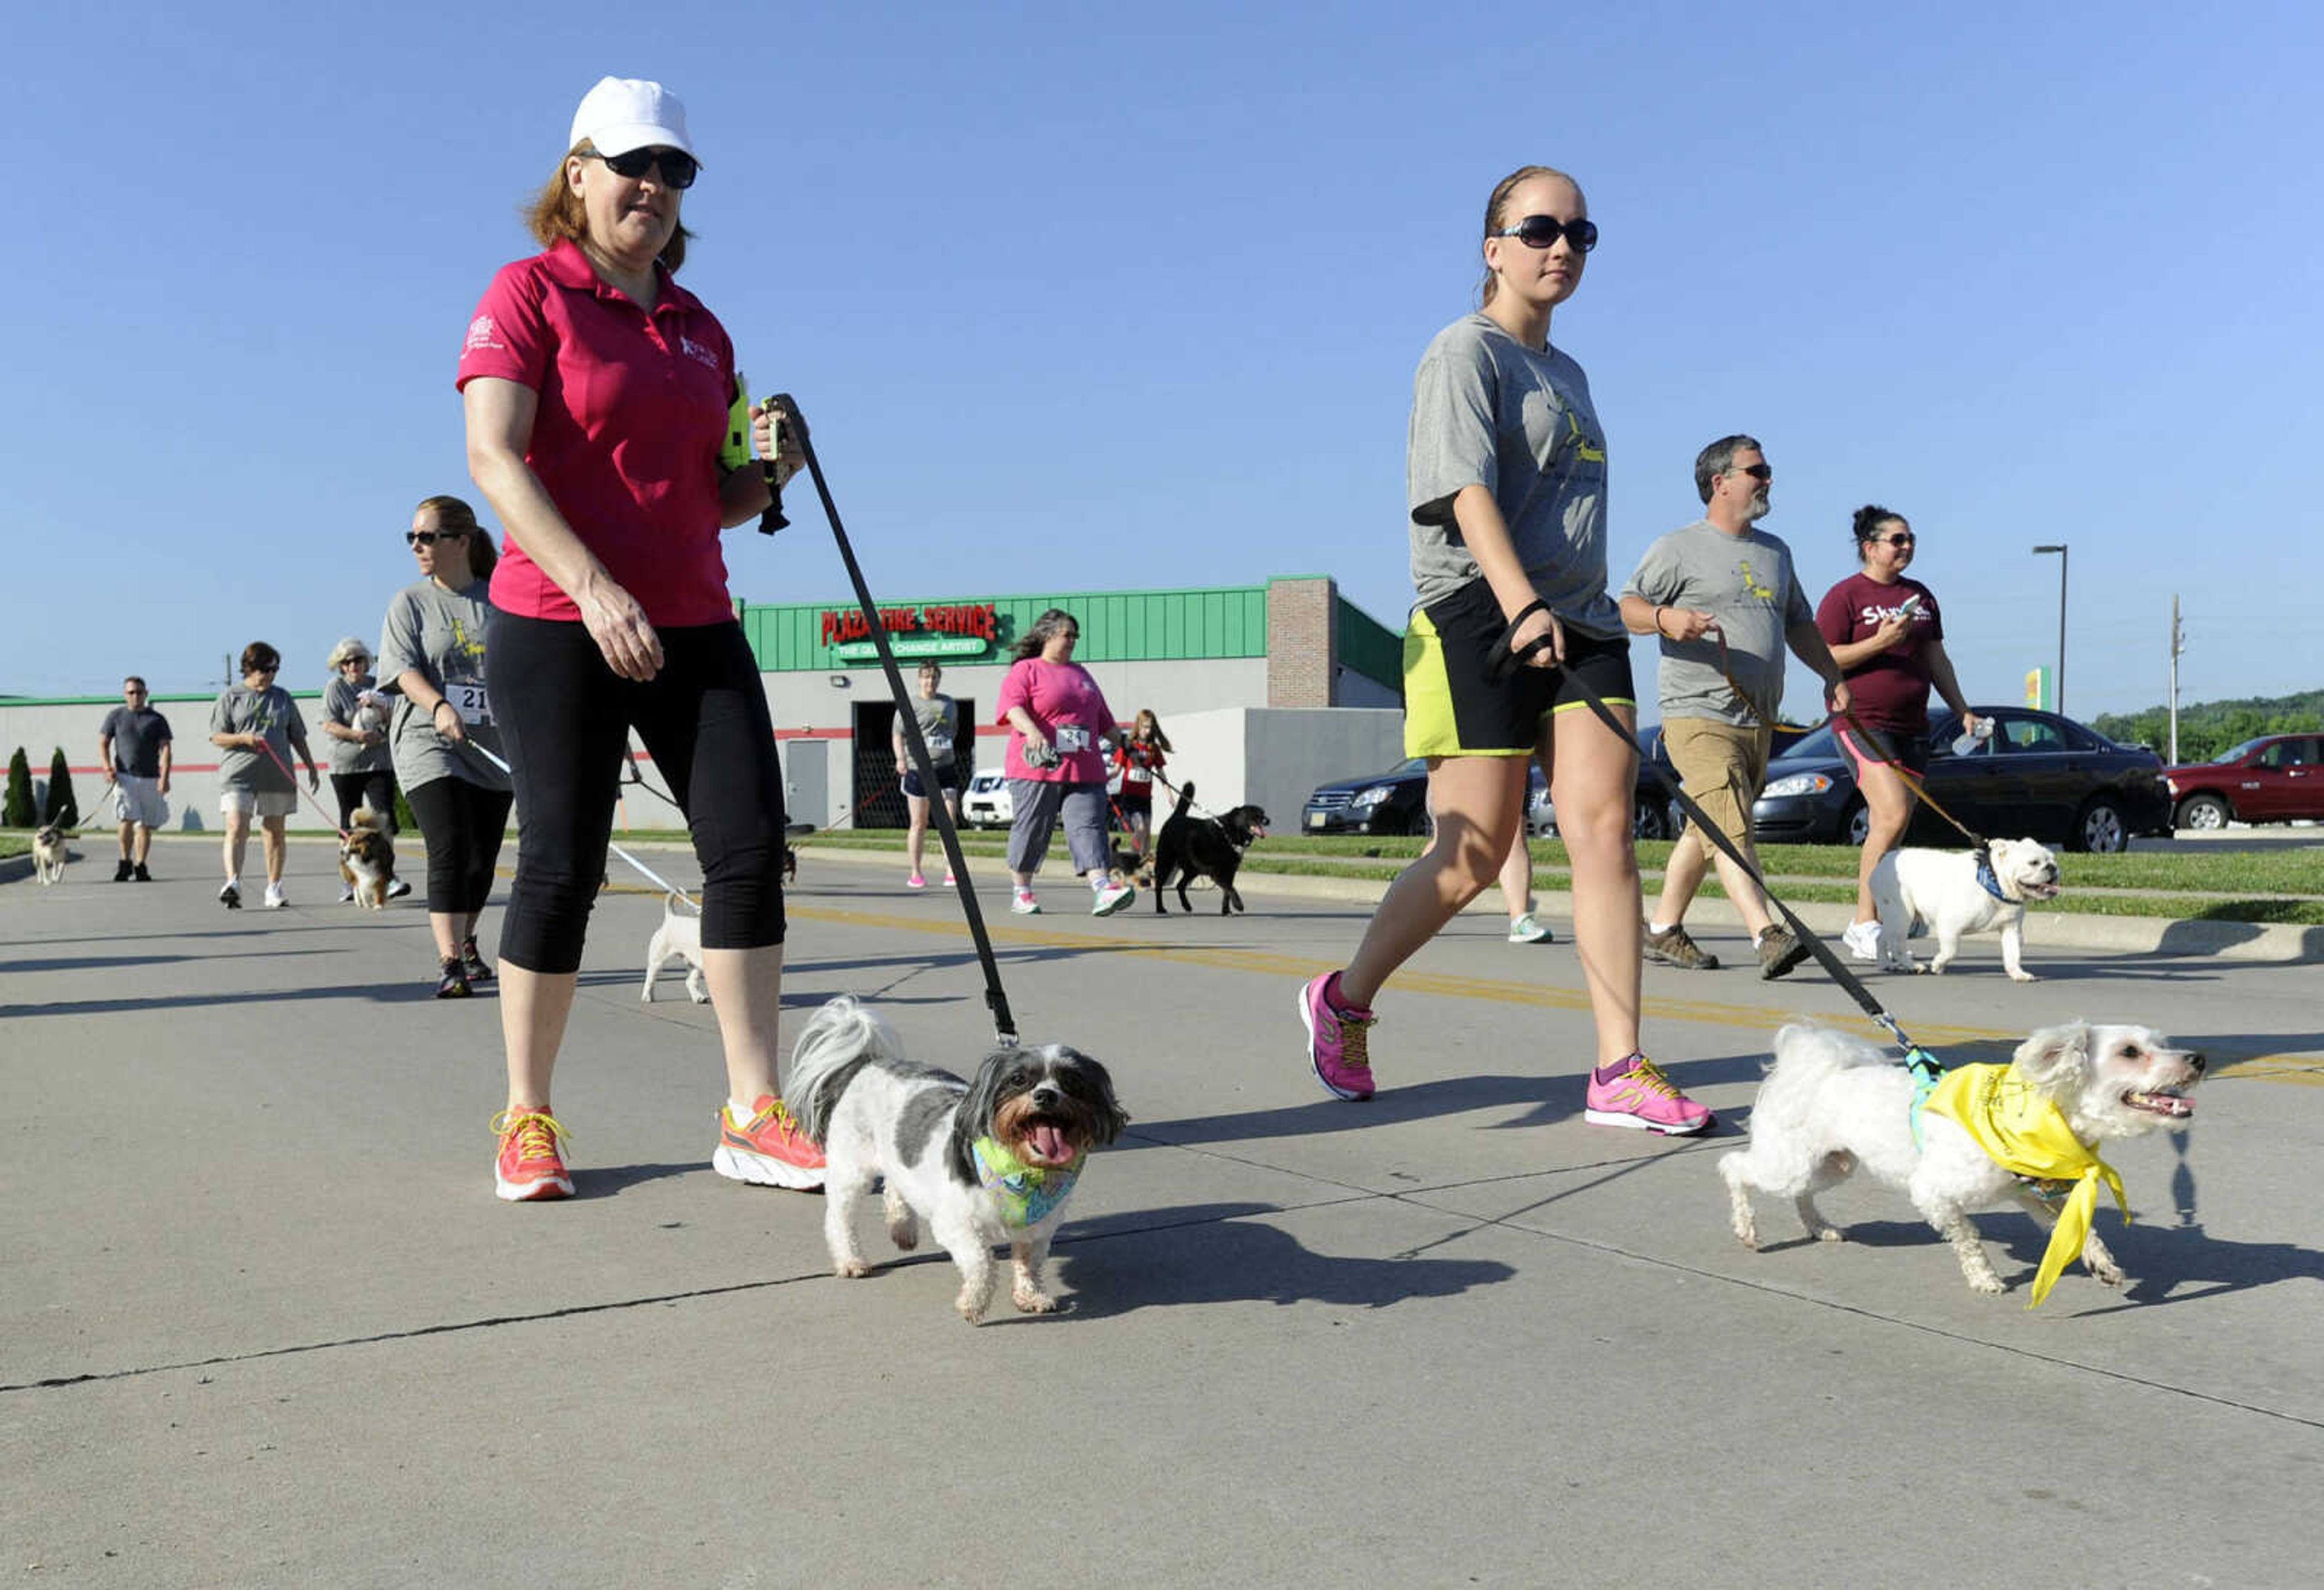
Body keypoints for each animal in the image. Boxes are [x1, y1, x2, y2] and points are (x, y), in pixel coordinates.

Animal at [637, 888, 706, 999]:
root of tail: (671, 917)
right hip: (658, 960)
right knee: (651, 977)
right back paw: (647, 996)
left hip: (695, 964)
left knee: (689, 982)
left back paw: (698, 998)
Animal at [781, 999, 1124, 1320]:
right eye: (1018, 1080)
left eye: (1072, 1082)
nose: (1046, 1096)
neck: (1021, 1171)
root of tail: (869, 1064)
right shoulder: (957, 1224)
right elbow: (982, 1262)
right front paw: (974, 1302)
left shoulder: (1038, 1231)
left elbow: (1028, 1264)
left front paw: (1031, 1295)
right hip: (851, 1169)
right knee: (840, 1219)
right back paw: (850, 1260)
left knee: (895, 1186)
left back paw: (903, 1228)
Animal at [1147, 776, 1264, 911]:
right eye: (1253, 814)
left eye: (1262, 813)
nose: (1267, 820)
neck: (1228, 834)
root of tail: (1176, 817)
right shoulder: (1218, 873)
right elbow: (1231, 889)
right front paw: (1238, 905)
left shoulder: (1230, 872)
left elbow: (1227, 892)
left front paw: (1226, 910)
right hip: (1166, 862)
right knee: (1159, 886)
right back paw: (1160, 908)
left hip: (1193, 869)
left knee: (1180, 885)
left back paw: (1187, 905)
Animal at [1728, 1022, 2193, 1301]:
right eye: (2129, 1052)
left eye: (2163, 1043)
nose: (2199, 1059)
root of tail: (1816, 1072)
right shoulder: (1934, 1193)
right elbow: (1968, 1237)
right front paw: (1984, 1277)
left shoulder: (2031, 1193)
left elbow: (2080, 1227)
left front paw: (2102, 1264)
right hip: (1789, 1164)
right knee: (1733, 1167)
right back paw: (1747, 1229)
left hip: (1831, 1164)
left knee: (1802, 1195)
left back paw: (1818, 1226)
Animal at [1877, 837, 2063, 976]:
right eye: (2034, 863)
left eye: (2053, 859)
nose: (2053, 868)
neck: (1995, 881)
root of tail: (1884, 861)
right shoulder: (1949, 925)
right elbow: (1951, 951)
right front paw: (1938, 964)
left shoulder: (2011, 928)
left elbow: (2013, 953)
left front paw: (2017, 973)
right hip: (1902, 915)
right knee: (1897, 945)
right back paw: (1912, 966)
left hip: (1894, 917)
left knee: (1882, 938)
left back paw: (1886, 963)